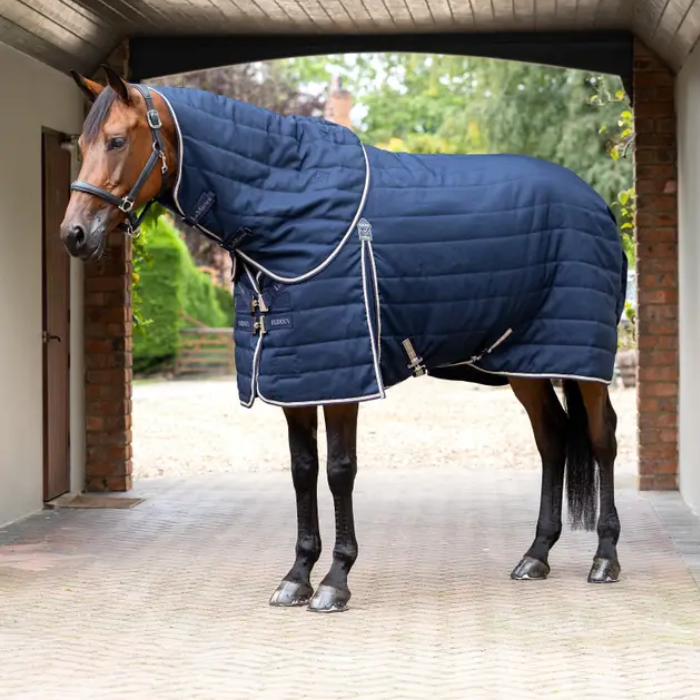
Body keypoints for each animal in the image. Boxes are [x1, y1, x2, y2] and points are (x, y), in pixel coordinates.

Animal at [60, 65, 627, 613]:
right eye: (81, 145)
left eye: (116, 140)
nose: (74, 234)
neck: (292, 209)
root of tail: (599, 205)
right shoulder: (294, 381)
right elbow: (302, 470)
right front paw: (296, 577)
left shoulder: (342, 378)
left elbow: (338, 471)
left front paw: (335, 580)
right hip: (524, 361)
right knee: (553, 438)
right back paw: (536, 555)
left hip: (582, 363)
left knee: (602, 438)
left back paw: (604, 558)